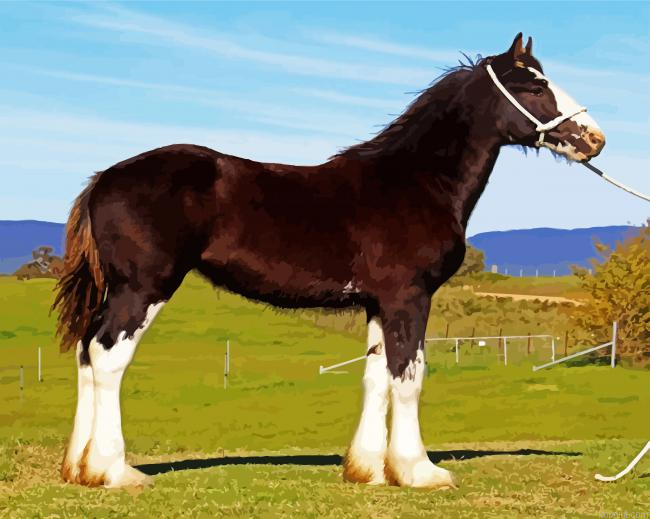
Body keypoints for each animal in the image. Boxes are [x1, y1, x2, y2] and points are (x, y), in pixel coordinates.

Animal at [52, 33, 605, 489]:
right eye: (533, 86)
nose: (595, 139)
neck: (415, 182)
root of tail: (103, 179)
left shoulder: (378, 303)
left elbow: (376, 375)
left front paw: (369, 470)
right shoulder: (409, 298)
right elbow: (409, 376)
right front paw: (419, 471)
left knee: (84, 351)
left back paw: (79, 468)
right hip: (143, 288)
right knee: (107, 354)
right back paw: (113, 471)